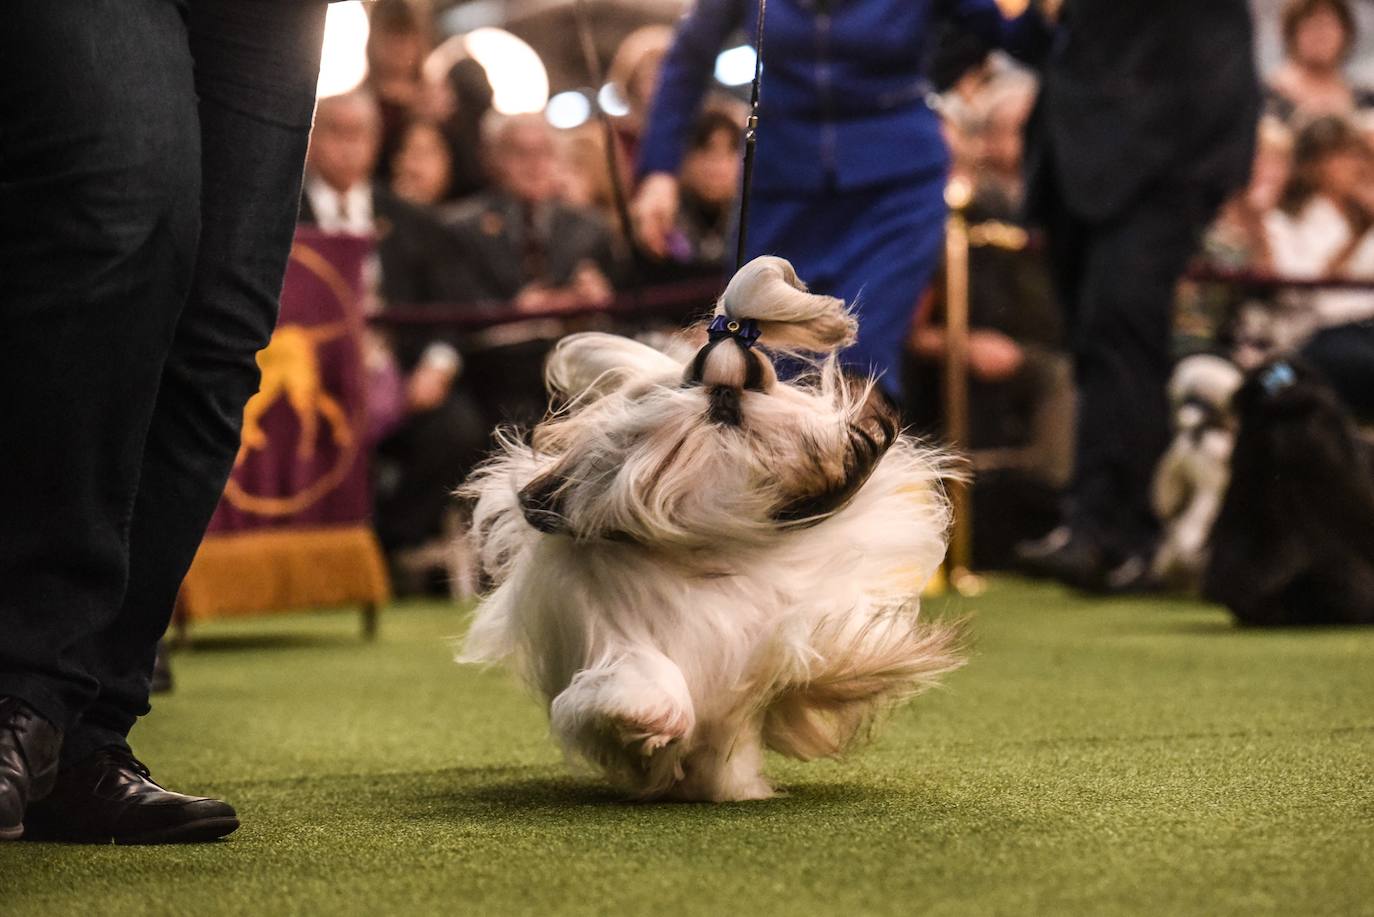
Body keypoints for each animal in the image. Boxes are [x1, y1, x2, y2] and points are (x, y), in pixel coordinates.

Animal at [456, 254, 961, 797]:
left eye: (757, 379)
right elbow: (639, 673)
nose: (723, 393)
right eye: (692, 379)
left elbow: (808, 639)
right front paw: (647, 717)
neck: (710, 531)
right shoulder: (618, 626)